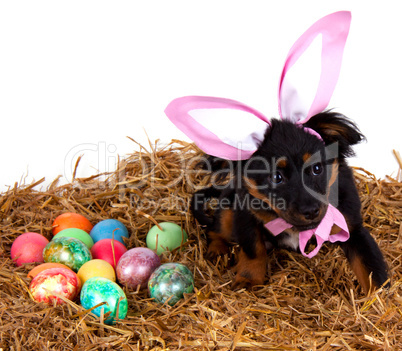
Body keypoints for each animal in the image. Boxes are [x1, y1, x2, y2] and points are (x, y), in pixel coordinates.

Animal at [192, 111, 390, 292]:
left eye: (317, 168)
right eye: (276, 177)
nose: (311, 211)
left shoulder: (352, 228)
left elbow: (369, 266)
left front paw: (376, 299)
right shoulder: (246, 217)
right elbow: (253, 249)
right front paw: (249, 278)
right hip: (228, 210)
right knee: (215, 230)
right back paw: (217, 250)